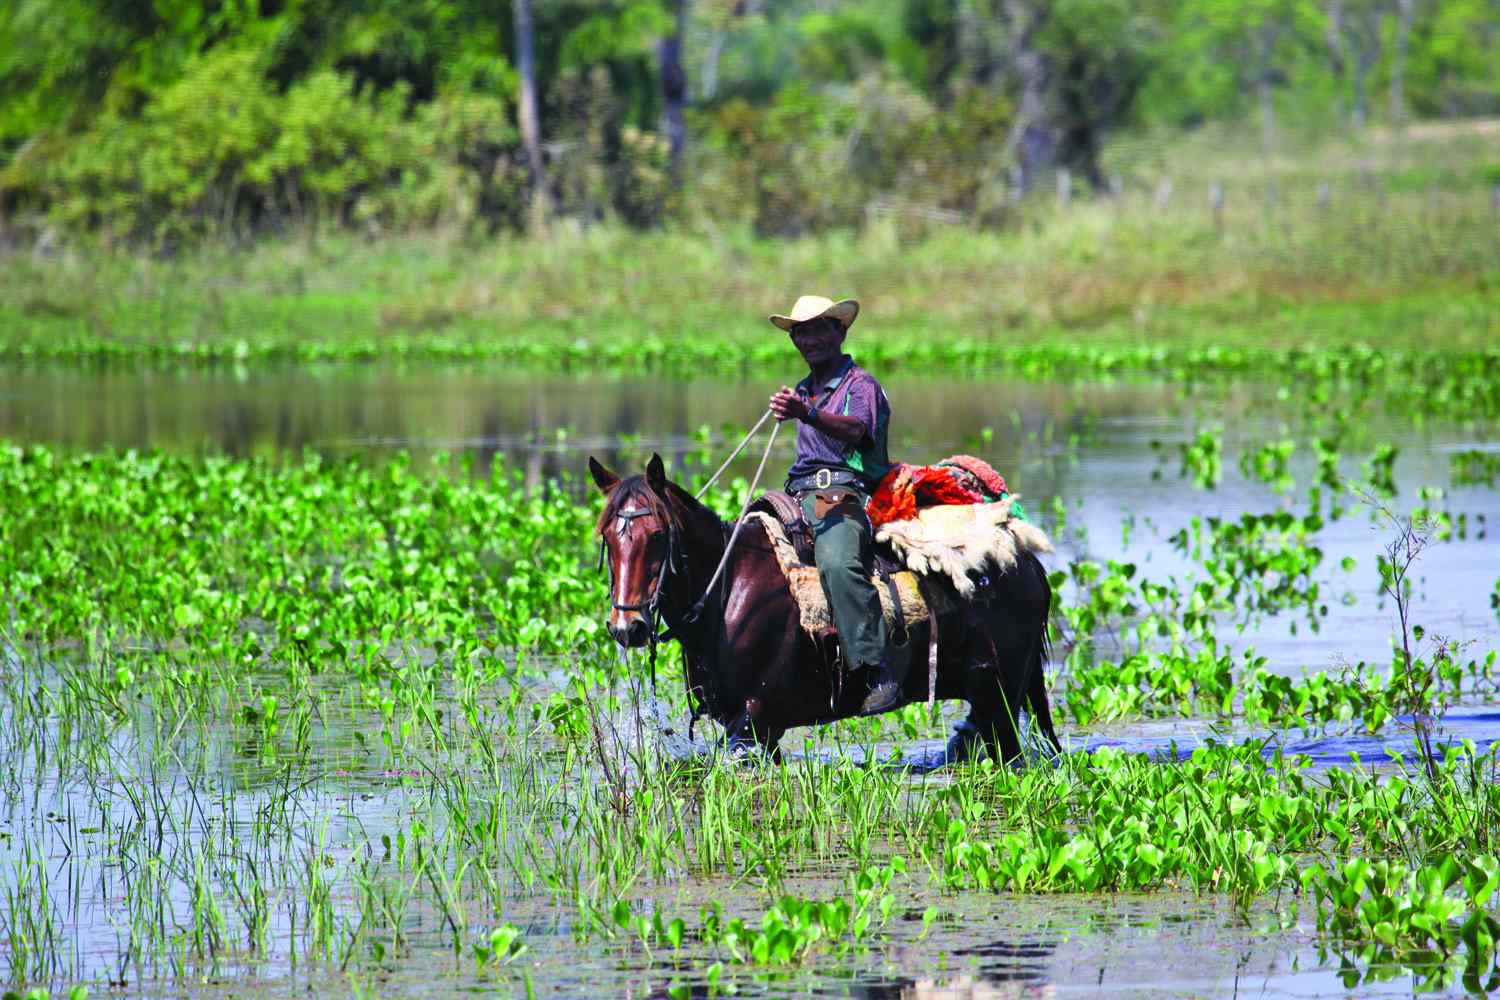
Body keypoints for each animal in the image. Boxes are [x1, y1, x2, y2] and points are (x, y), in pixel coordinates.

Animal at [588, 453, 1060, 764]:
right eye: (608, 536)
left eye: (657, 535)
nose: (627, 626)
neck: (725, 590)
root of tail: (1027, 564)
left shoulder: (755, 723)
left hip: (1003, 695)